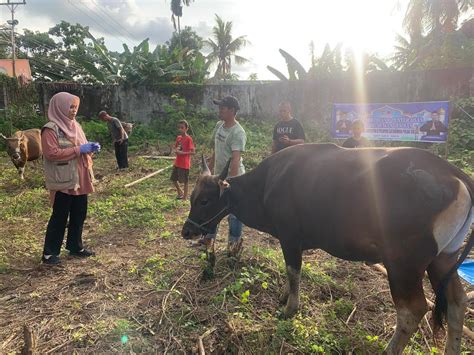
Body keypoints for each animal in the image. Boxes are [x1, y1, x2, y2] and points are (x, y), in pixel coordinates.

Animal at [183, 145, 472, 355]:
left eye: (205, 200)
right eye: (191, 198)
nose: (187, 231)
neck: (266, 184)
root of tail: (455, 174)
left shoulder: (290, 236)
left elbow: (293, 270)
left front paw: (290, 307)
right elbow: (291, 271)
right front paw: (284, 296)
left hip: (403, 265)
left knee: (412, 311)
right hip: (443, 259)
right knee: (458, 302)